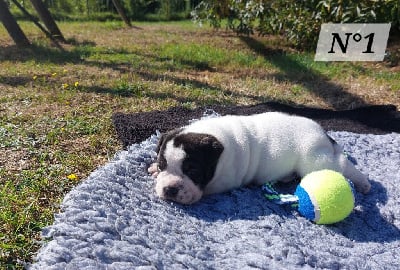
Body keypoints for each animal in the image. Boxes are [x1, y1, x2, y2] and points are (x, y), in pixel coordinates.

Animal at [148, 112, 370, 205]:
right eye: (162, 166)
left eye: (193, 170)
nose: (170, 189)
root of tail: (323, 134)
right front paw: (153, 170)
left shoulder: (224, 181)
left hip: (316, 160)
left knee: (342, 165)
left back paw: (363, 183)